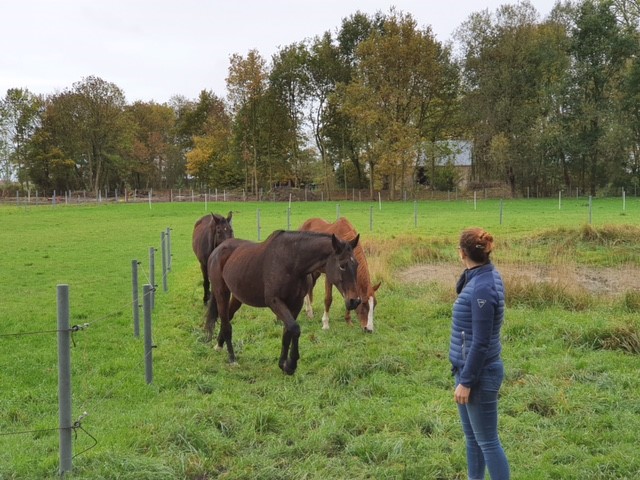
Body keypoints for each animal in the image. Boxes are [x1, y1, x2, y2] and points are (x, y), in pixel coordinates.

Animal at [205, 230, 361, 375]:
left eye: (357, 264)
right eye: (342, 265)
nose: (355, 301)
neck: (291, 263)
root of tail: (217, 251)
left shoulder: (296, 304)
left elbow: (287, 332)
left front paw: (283, 364)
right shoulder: (275, 301)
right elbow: (295, 328)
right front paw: (291, 364)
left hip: (238, 297)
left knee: (227, 318)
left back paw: (219, 345)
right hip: (222, 293)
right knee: (226, 323)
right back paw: (232, 359)